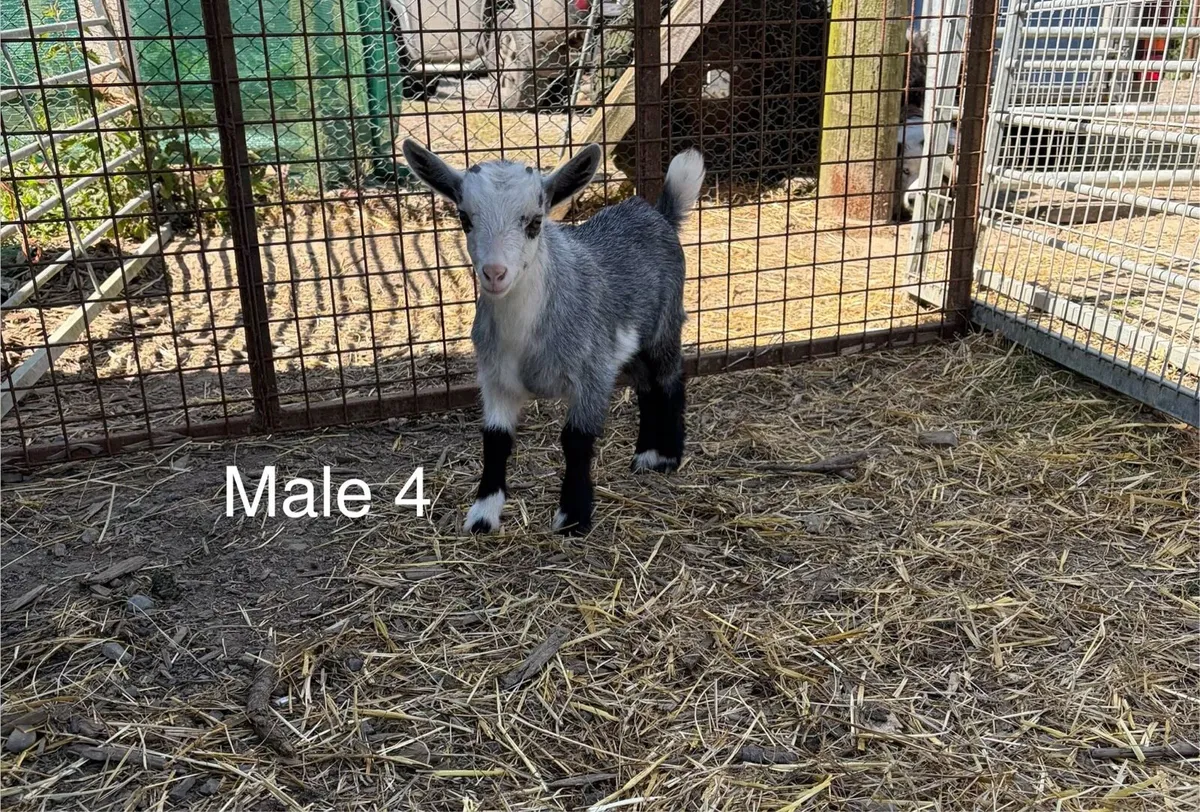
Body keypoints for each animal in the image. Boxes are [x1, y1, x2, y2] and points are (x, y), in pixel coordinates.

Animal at [401, 140, 705, 536]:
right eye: (465, 218)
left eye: (534, 222)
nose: (495, 273)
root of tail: (659, 214)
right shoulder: (496, 379)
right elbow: (495, 440)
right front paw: (483, 514)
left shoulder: (592, 373)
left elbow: (576, 440)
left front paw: (573, 517)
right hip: (628, 347)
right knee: (645, 387)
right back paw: (645, 454)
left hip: (663, 326)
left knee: (670, 380)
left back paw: (668, 456)